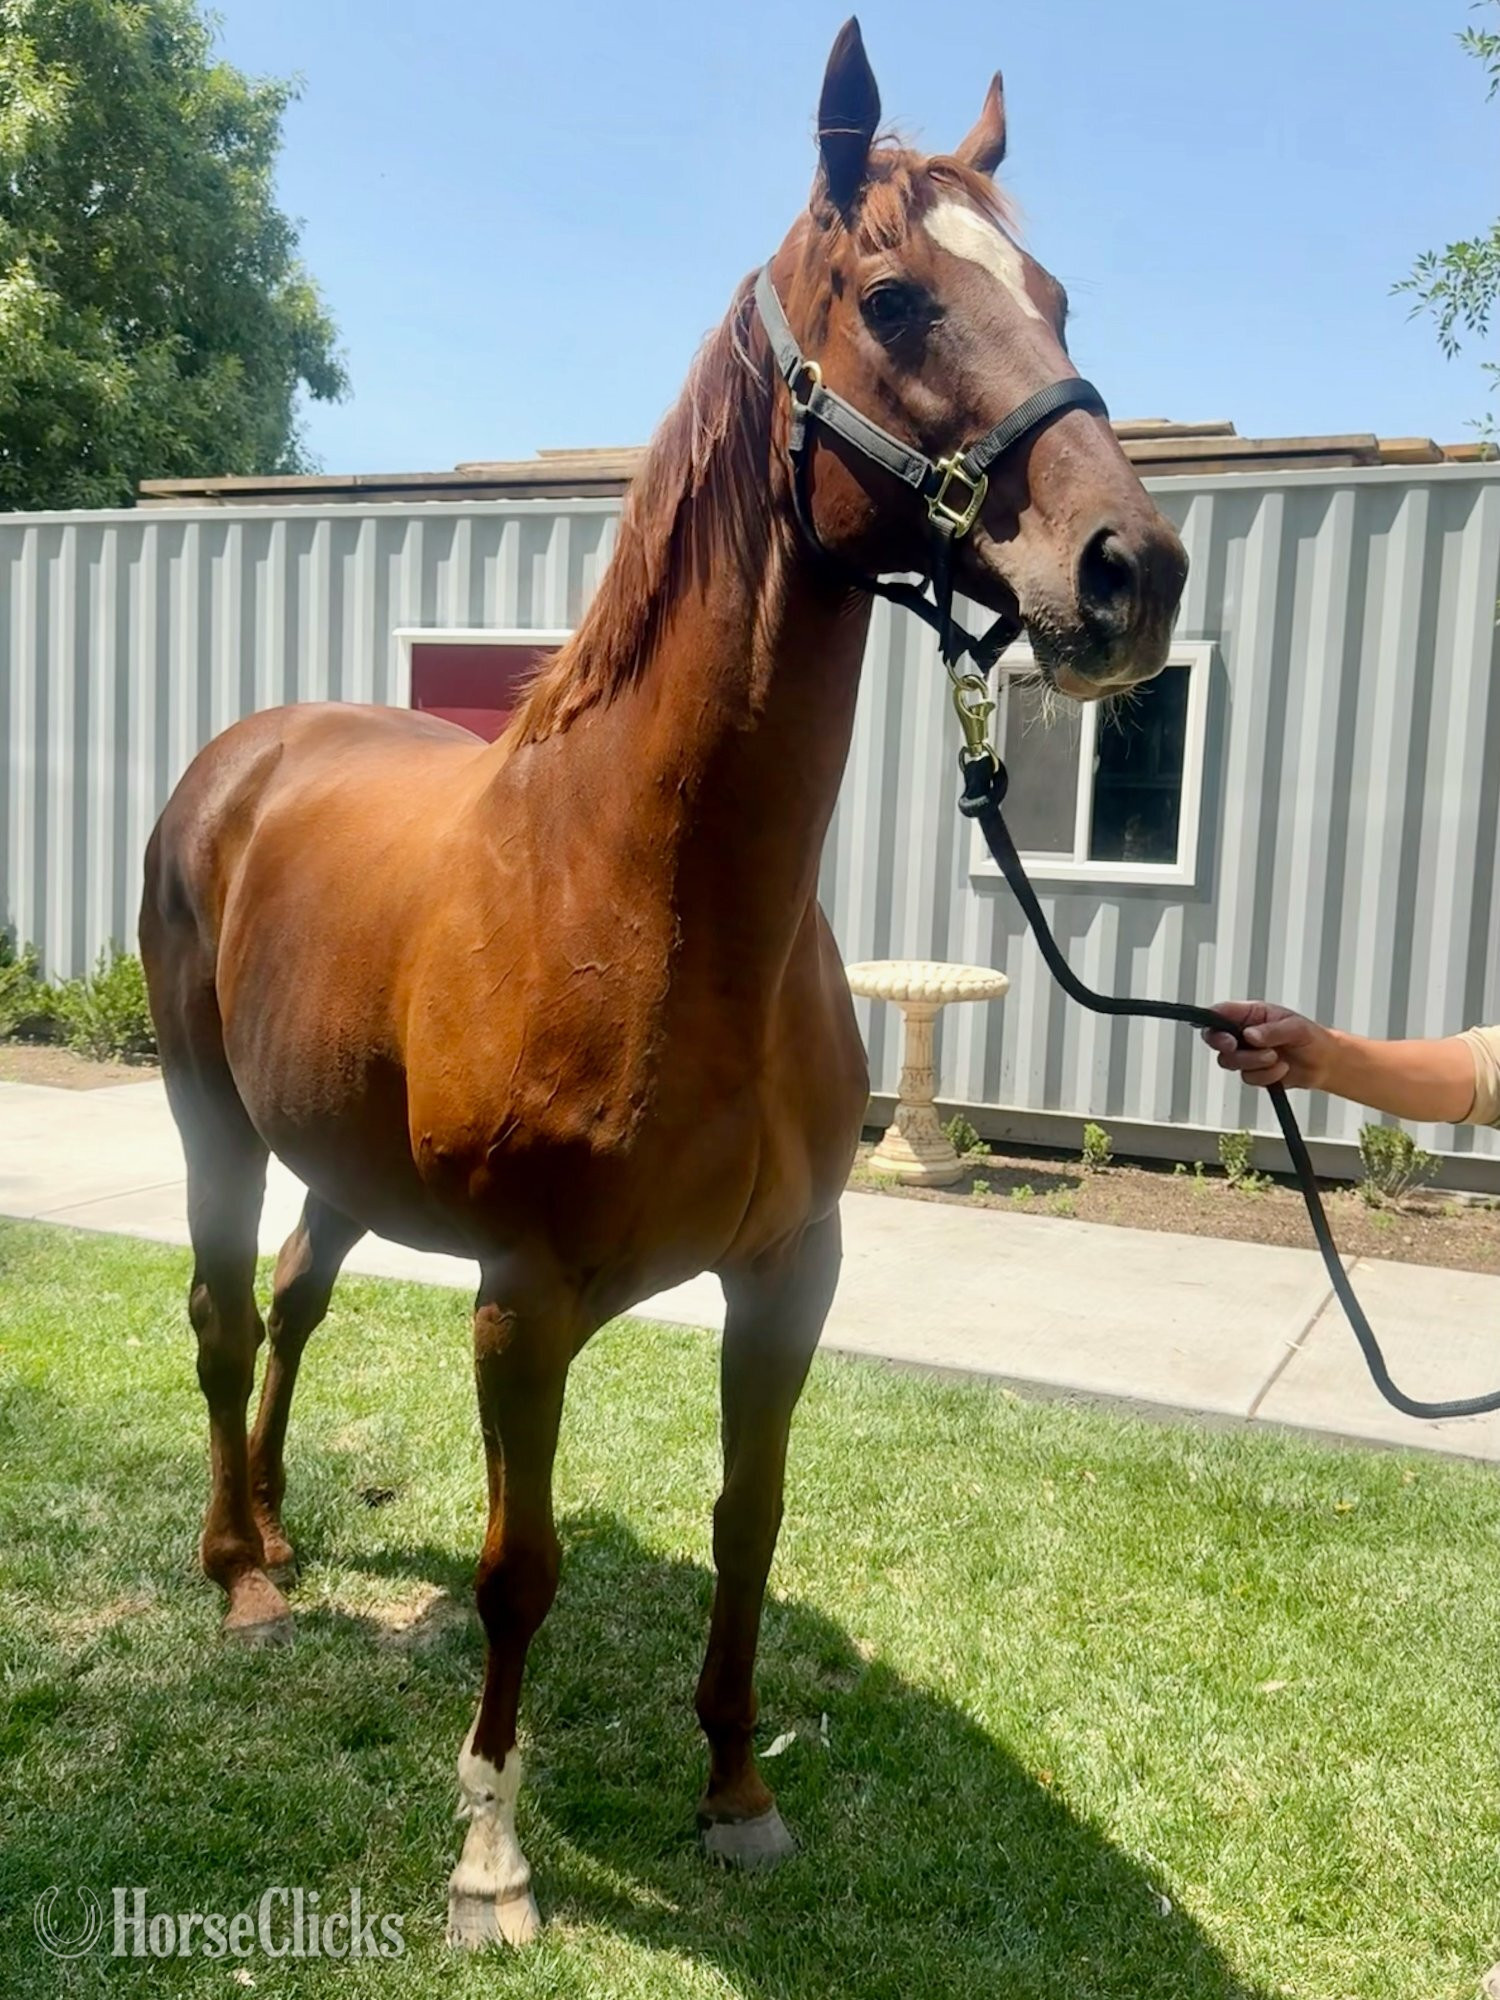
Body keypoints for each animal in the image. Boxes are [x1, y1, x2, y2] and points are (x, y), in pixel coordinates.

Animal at [139, 19, 1187, 1948]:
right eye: (896, 296)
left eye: (1058, 296)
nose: (1128, 572)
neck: (661, 905)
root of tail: (244, 758)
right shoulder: (523, 1300)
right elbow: (517, 1565)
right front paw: (491, 1853)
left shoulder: (791, 1276)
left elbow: (747, 1524)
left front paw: (737, 1791)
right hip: (211, 1124)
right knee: (227, 1315)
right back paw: (239, 1571)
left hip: (335, 1156)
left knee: (298, 1314)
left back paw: (285, 1525)